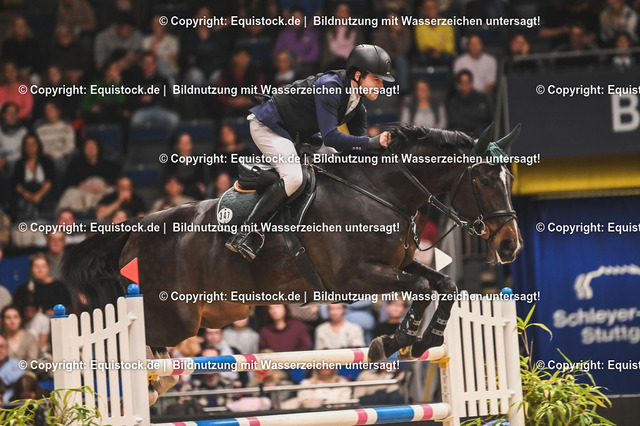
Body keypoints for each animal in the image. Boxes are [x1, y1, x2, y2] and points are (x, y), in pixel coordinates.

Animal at [62, 123, 523, 403]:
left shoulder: (398, 265)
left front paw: (422, 341)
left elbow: (445, 287)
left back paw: (159, 383)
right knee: (137, 340)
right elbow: (425, 290)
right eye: (484, 178)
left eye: (509, 178)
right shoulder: (353, 278)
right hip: (176, 317)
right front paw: (394, 342)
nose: (510, 246)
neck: (380, 191)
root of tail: (136, 230)